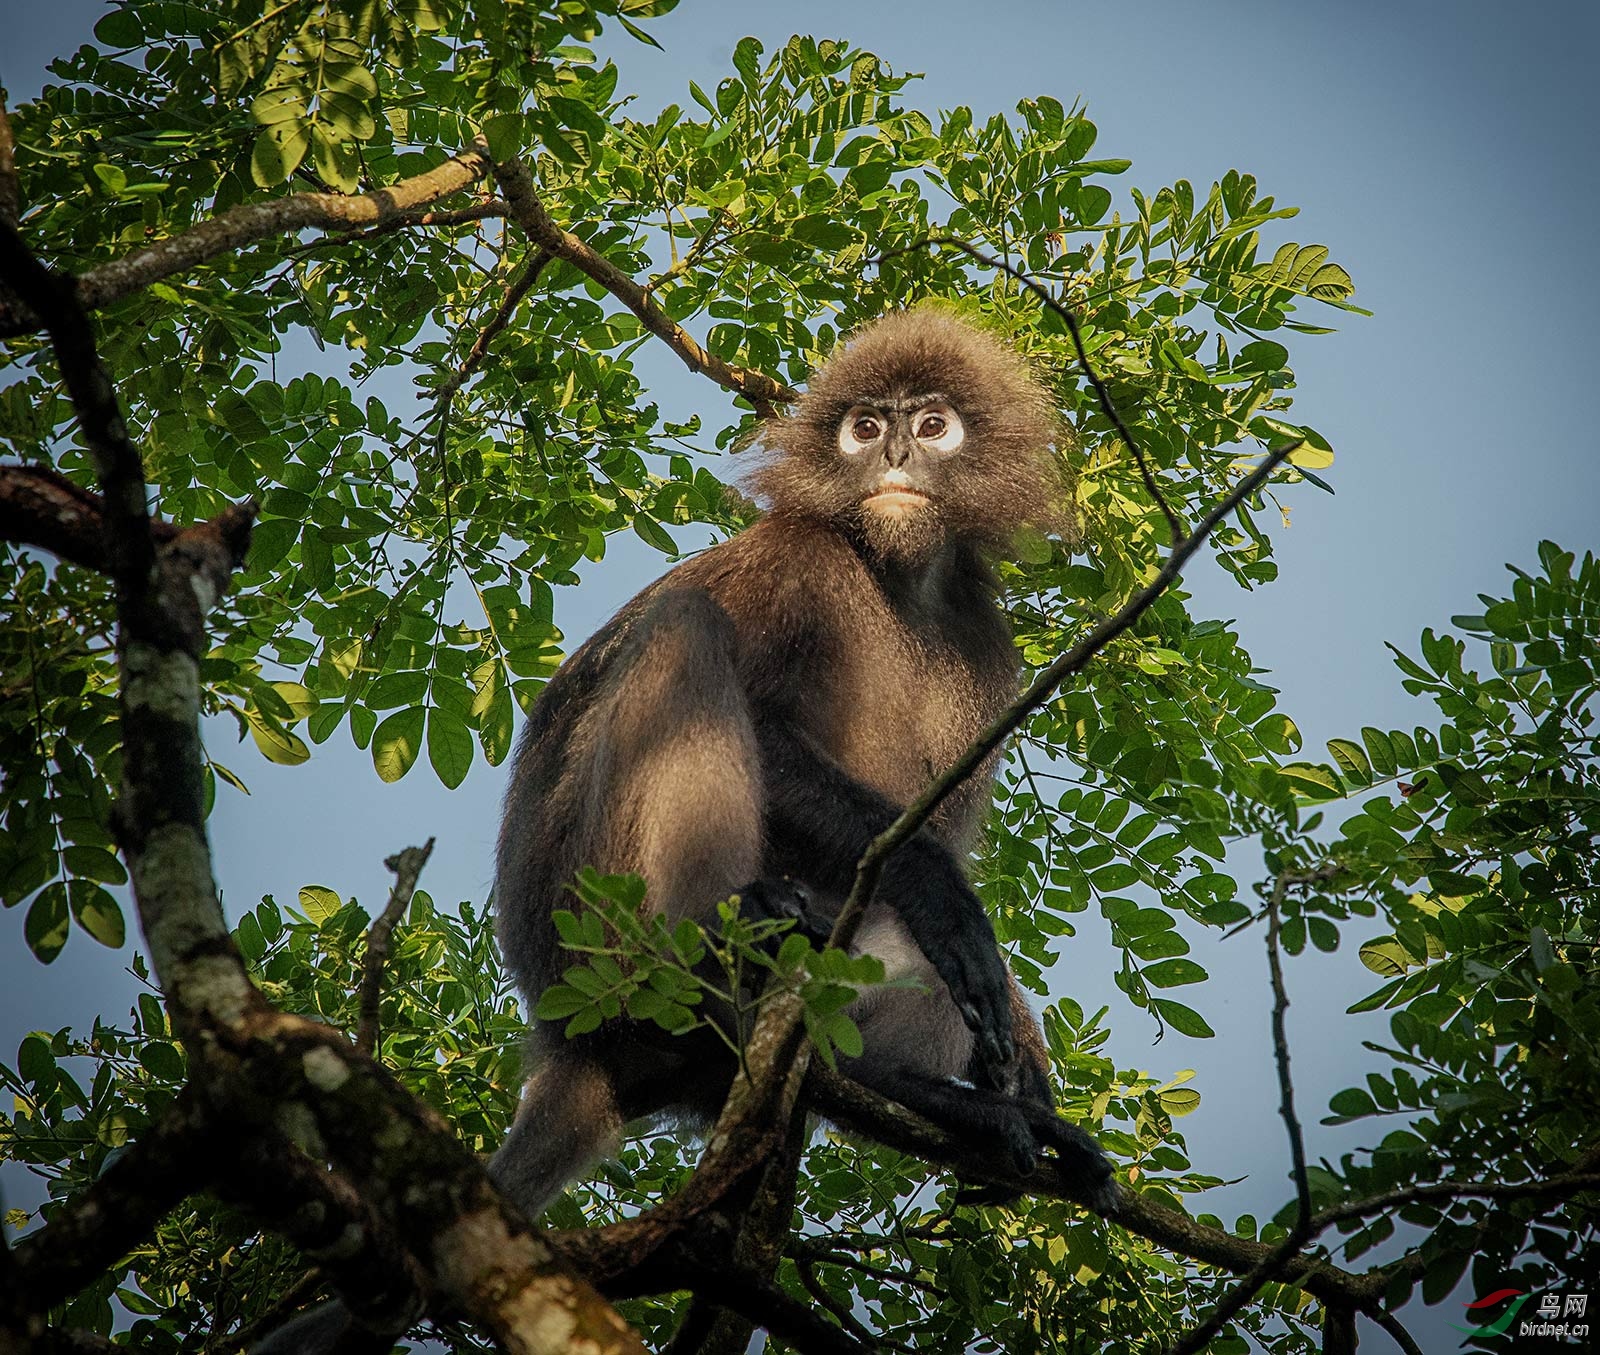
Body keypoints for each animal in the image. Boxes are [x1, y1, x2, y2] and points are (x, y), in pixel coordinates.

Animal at [256, 310, 1120, 1355]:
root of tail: (569, 1043)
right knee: (685, 626)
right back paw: (717, 937)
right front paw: (948, 905)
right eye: (866, 428)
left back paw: (906, 1087)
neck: (894, 578)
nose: (896, 454)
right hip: (584, 915)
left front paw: (1019, 1070)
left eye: (933, 425)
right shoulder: (794, 558)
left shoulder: (986, 647)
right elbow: (882, 834)